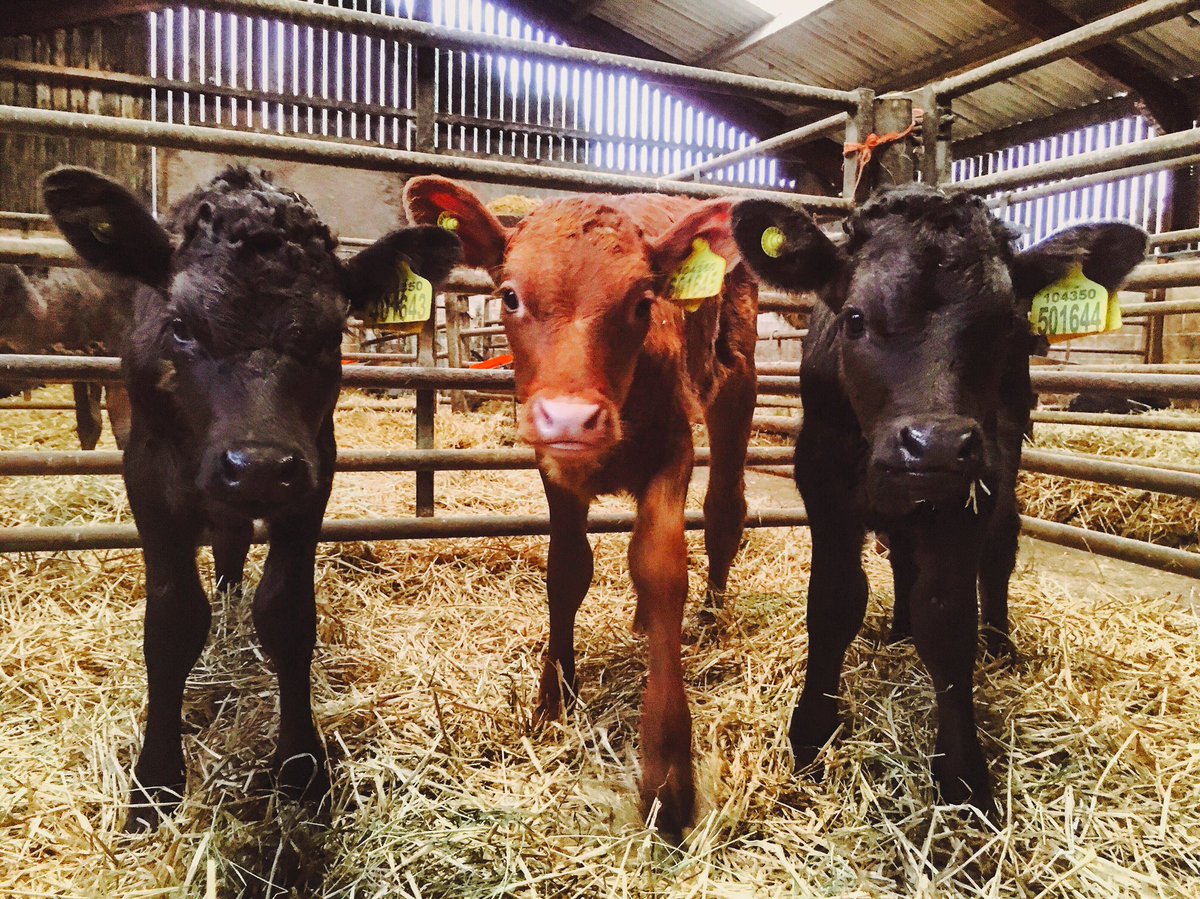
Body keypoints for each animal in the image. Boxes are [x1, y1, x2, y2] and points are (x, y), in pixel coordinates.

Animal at [42, 164, 461, 832]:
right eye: (181, 326)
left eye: (333, 335)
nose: (258, 467)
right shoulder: (149, 480)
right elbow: (172, 622)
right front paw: (155, 784)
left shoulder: (313, 475)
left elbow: (286, 613)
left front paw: (301, 768)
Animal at [403, 176, 758, 837]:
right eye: (510, 296)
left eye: (643, 303)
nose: (570, 418)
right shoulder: (555, 469)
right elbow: (568, 570)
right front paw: (554, 698)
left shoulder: (674, 449)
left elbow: (660, 567)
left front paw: (667, 774)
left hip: (737, 384)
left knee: (726, 510)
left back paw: (712, 616)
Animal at [731, 184, 1145, 814]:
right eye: (855, 318)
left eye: (1006, 325)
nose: (936, 444)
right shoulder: (823, 487)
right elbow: (833, 602)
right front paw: (811, 734)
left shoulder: (972, 487)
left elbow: (948, 620)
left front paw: (963, 774)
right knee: (903, 552)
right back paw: (899, 627)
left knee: (999, 551)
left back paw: (999, 643)